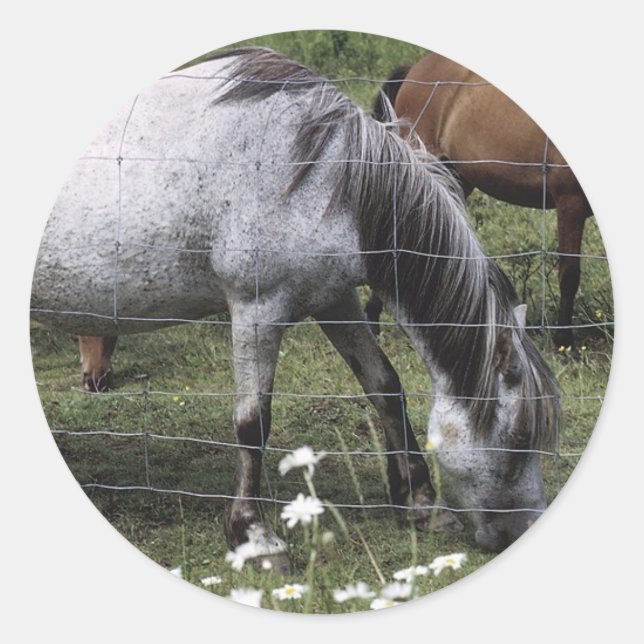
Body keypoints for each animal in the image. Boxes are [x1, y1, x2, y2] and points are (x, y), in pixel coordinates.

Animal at [31, 47, 560, 567]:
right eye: (517, 443)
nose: (521, 532)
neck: (323, 174)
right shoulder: (258, 307)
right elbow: (253, 421)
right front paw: (255, 535)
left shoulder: (334, 299)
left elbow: (385, 386)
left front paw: (422, 505)